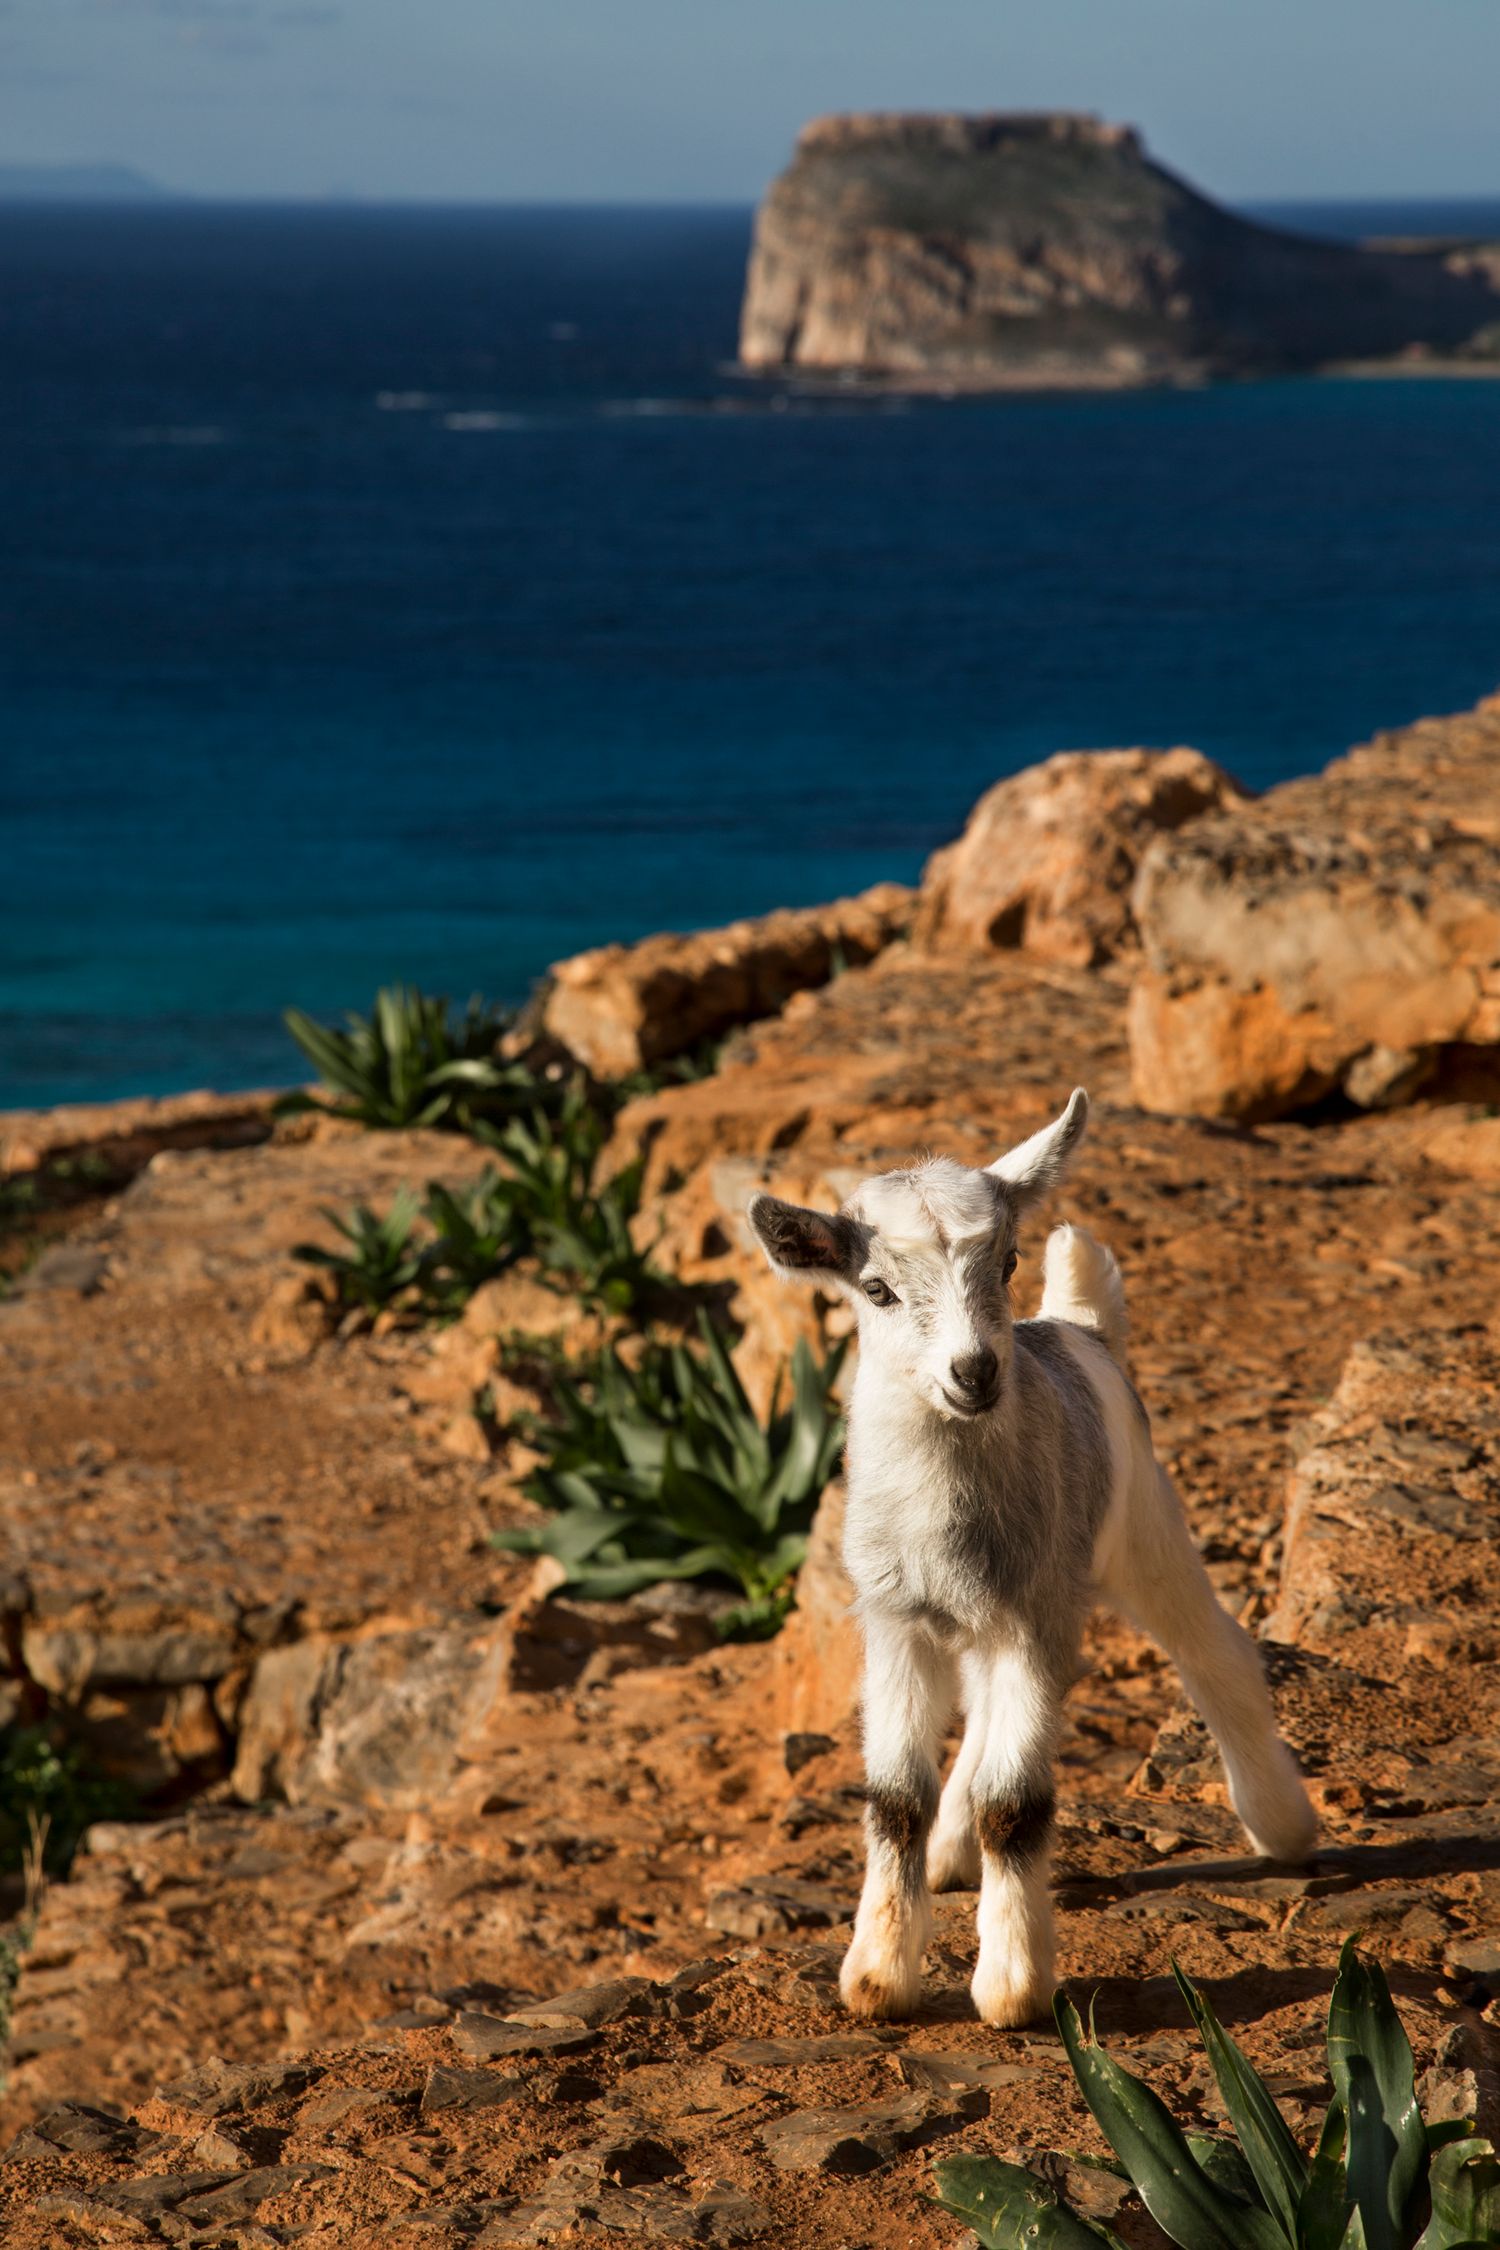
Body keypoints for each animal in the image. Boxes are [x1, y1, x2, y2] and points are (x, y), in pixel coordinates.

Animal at [747, 1088, 1315, 2025]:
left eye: (1007, 1260)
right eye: (876, 1289)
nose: (973, 1372)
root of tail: (1079, 1327)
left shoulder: (1031, 1612)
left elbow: (1014, 1805)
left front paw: (1014, 1987)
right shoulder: (896, 1620)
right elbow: (895, 1800)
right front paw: (877, 1977)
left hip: (1141, 1528)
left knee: (1215, 1653)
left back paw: (1283, 1826)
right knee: (984, 1720)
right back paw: (952, 1854)